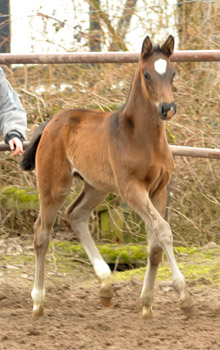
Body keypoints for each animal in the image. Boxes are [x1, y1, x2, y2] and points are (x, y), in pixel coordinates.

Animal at [21, 36, 194, 320]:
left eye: (173, 73)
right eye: (147, 74)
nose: (167, 108)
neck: (142, 137)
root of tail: (51, 122)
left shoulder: (158, 190)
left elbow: (155, 244)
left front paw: (147, 304)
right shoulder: (132, 189)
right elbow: (163, 231)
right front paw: (184, 297)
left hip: (96, 186)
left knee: (76, 215)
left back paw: (105, 285)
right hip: (54, 185)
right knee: (41, 233)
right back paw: (37, 302)